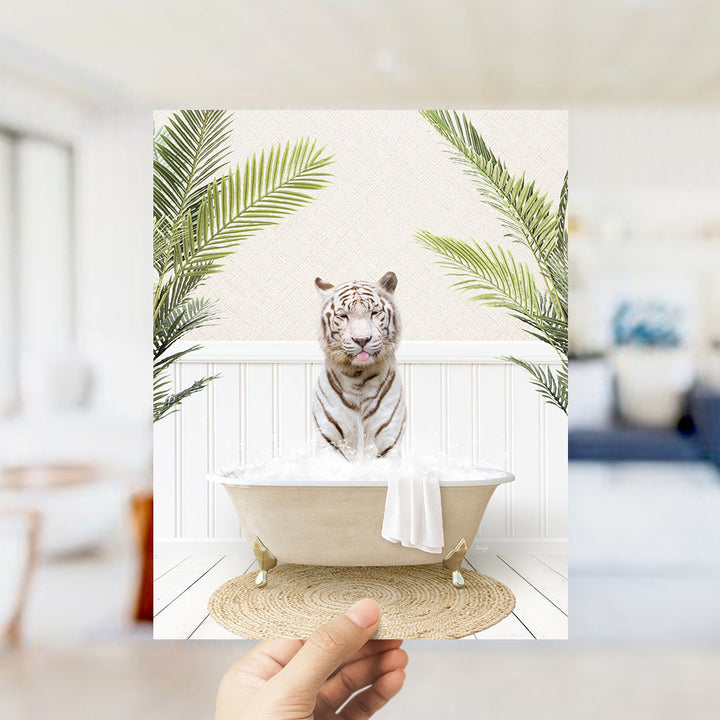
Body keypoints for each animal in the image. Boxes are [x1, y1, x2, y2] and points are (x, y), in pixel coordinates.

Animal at [312, 271, 406, 461]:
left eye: (374, 313)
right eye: (343, 316)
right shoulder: (329, 439)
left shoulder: (388, 442)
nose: (362, 340)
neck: (358, 376)